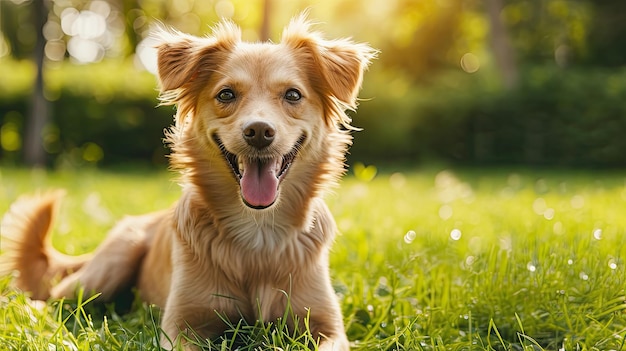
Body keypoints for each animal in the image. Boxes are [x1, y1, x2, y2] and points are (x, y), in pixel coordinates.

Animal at [0, 15, 372, 350]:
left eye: (293, 95)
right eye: (226, 95)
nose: (258, 132)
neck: (259, 230)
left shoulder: (327, 327)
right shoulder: (182, 326)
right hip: (105, 268)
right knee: (53, 299)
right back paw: (28, 312)